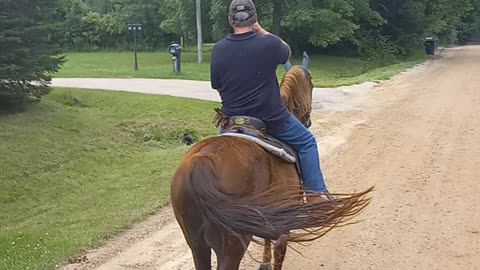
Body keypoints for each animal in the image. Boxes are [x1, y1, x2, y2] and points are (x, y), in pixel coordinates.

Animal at [171, 61, 374, 270]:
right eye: (311, 85)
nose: (308, 120)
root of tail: (201, 163)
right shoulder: (284, 220)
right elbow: (279, 253)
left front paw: (265, 262)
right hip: (232, 244)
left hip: (197, 244)